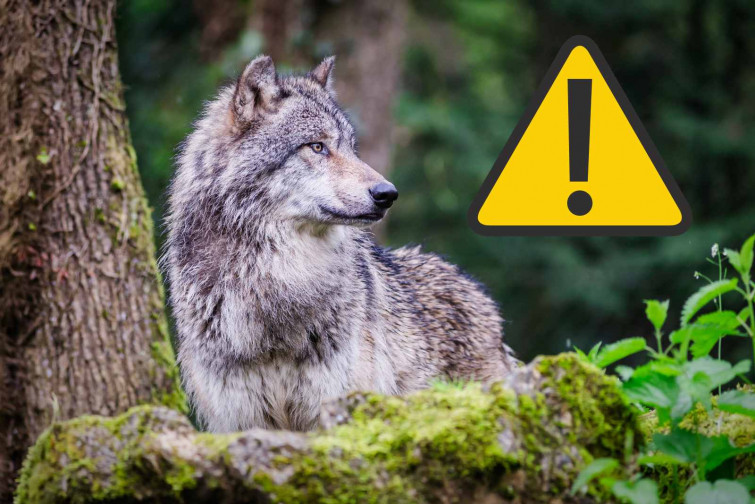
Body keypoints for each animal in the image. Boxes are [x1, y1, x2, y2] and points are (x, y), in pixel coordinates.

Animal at [164, 55, 517, 433]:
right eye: (317, 146)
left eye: (351, 148)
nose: (388, 194)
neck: (276, 284)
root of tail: (481, 294)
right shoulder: (242, 421)